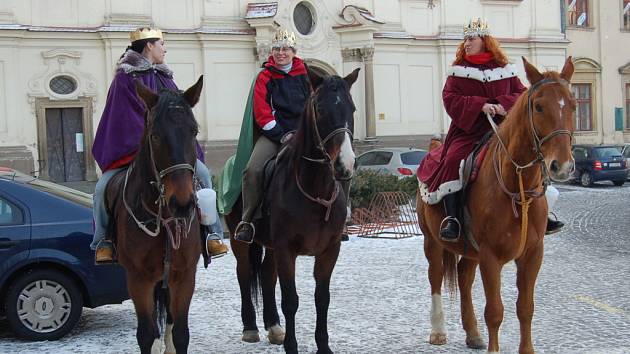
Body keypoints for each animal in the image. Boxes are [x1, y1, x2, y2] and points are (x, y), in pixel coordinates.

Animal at [107, 77, 204, 354]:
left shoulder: (184, 276)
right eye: (155, 135)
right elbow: (146, 334)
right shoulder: (138, 279)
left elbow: (181, 333)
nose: (182, 203)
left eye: (194, 131)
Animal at [226, 69, 360, 354]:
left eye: (352, 108)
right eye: (321, 109)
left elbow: (322, 298)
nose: (345, 164)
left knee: (266, 275)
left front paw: (323, 346)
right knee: (244, 274)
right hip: (238, 239)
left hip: (271, 246)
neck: (315, 190)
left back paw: (274, 327)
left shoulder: (329, 250)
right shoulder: (286, 249)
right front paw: (292, 346)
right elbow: (291, 300)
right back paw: (251, 327)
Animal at [420, 56, 576, 352]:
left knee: (464, 277)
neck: (517, 188)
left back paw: (472, 333)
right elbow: (494, 311)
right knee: (436, 276)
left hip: (470, 250)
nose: (561, 166)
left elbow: (525, 308)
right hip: (432, 240)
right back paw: (437, 331)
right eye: (538, 106)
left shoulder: (532, 255)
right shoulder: (490, 256)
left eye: (573, 104)